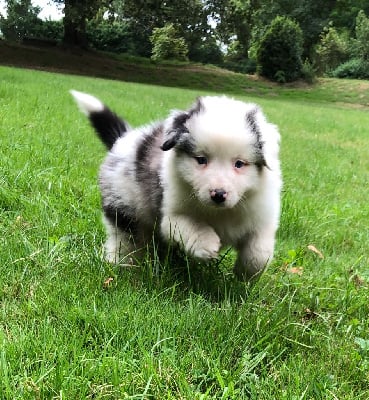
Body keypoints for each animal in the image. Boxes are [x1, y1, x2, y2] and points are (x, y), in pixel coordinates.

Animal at [70, 91, 280, 280]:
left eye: (239, 164)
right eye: (201, 159)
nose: (218, 194)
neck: (220, 212)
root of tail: (125, 138)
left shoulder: (262, 216)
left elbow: (259, 252)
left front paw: (245, 273)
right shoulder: (170, 214)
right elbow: (190, 224)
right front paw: (206, 244)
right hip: (123, 207)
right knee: (123, 239)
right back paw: (120, 266)